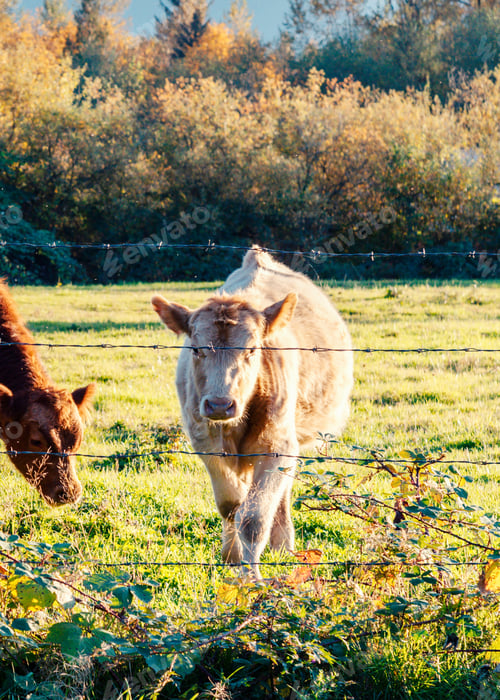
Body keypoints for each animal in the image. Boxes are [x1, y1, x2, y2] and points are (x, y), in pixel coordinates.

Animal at [152, 248, 353, 579]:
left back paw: (283, 546)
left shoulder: (277, 446)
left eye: (252, 350)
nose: (220, 404)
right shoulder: (205, 444)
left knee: (280, 495)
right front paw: (232, 558)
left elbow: (254, 517)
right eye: (196, 349)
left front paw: (251, 576)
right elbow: (231, 505)